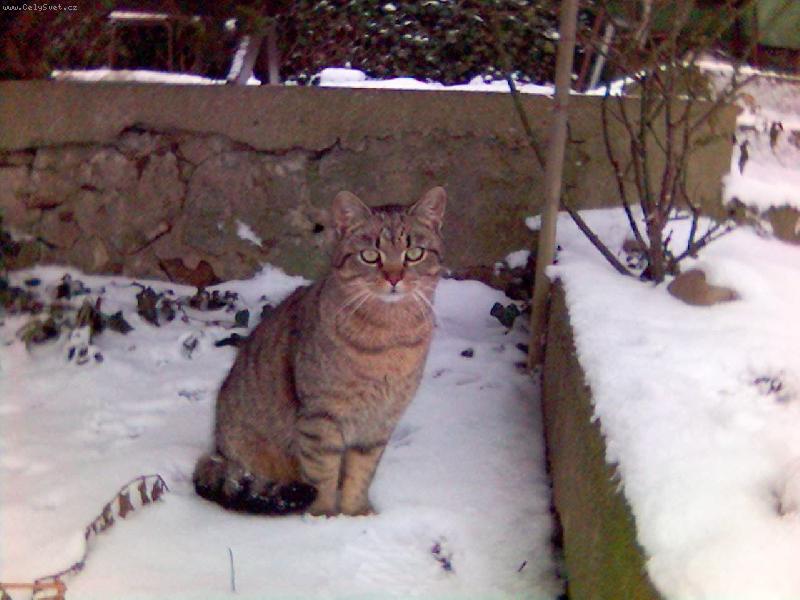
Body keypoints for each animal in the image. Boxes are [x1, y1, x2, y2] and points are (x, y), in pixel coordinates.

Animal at [193, 186, 447, 516]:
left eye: (414, 253)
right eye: (370, 256)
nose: (394, 278)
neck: (389, 337)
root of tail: (218, 453)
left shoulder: (378, 423)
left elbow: (360, 474)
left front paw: (356, 515)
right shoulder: (321, 417)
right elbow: (322, 473)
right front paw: (324, 518)